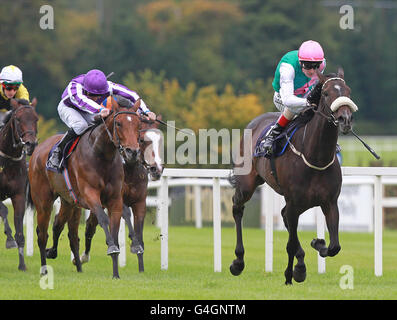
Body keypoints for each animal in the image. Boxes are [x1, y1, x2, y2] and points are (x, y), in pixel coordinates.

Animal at [26, 97, 141, 278]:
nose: (132, 152)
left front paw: (116, 272)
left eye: (138, 124)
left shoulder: (115, 199)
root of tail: (38, 150)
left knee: (61, 225)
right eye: (119, 123)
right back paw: (44, 269)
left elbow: (115, 227)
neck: (102, 155)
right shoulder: (90, 195)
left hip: (68, 202)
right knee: (42, 234)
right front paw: (112, 248)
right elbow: (103, 219)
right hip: (43, 202)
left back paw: (59, 256)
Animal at [227, 69, 358, 284]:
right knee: (238, 208)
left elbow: (334, 246)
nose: (345, 119)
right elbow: (290, 244)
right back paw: (238, 261)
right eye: (327, 93)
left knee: (284, 217)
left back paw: (301, 263)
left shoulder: (329, 202)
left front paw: (316, 244)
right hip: (247, 184)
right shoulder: (294, 202)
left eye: (348, 91)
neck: (315, 157)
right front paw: (290, 274)